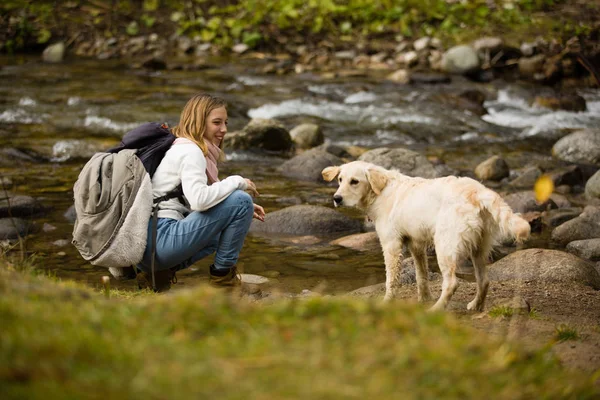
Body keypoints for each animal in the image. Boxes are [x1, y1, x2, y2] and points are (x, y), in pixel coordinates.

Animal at [324, 161, 528, 310]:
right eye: (340, 179)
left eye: (354, 181)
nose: (336, 198)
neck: (381, 191)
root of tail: (477, 191)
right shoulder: (416, 243)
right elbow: (421, 276)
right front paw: (424, 299)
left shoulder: (391, 244)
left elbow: (391, 280)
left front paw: (387, 301)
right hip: (479, 246)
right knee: (484, 280)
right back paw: (475, 306)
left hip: (445, 246)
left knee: (452, 283)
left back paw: (436, 309)